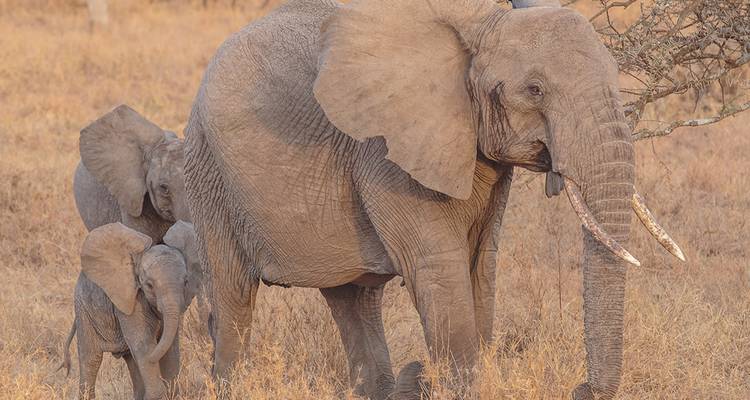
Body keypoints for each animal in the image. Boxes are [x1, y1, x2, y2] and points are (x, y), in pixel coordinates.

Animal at [60, 221, 200, 400]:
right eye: (149, 285)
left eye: (186, 282)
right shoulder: (132, 300)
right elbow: (143, 343)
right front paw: (156, 394)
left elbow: (170, 347)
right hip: (83, 309)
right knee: (91, 359)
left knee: (131, 360)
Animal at [181, 0, 685, 398]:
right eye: (535, 89)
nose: (582, 388)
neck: (483, 25)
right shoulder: (387, 153)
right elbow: (440, 267)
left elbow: (481, 263)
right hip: (209, 173)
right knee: (233, 296)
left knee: (353, 298)